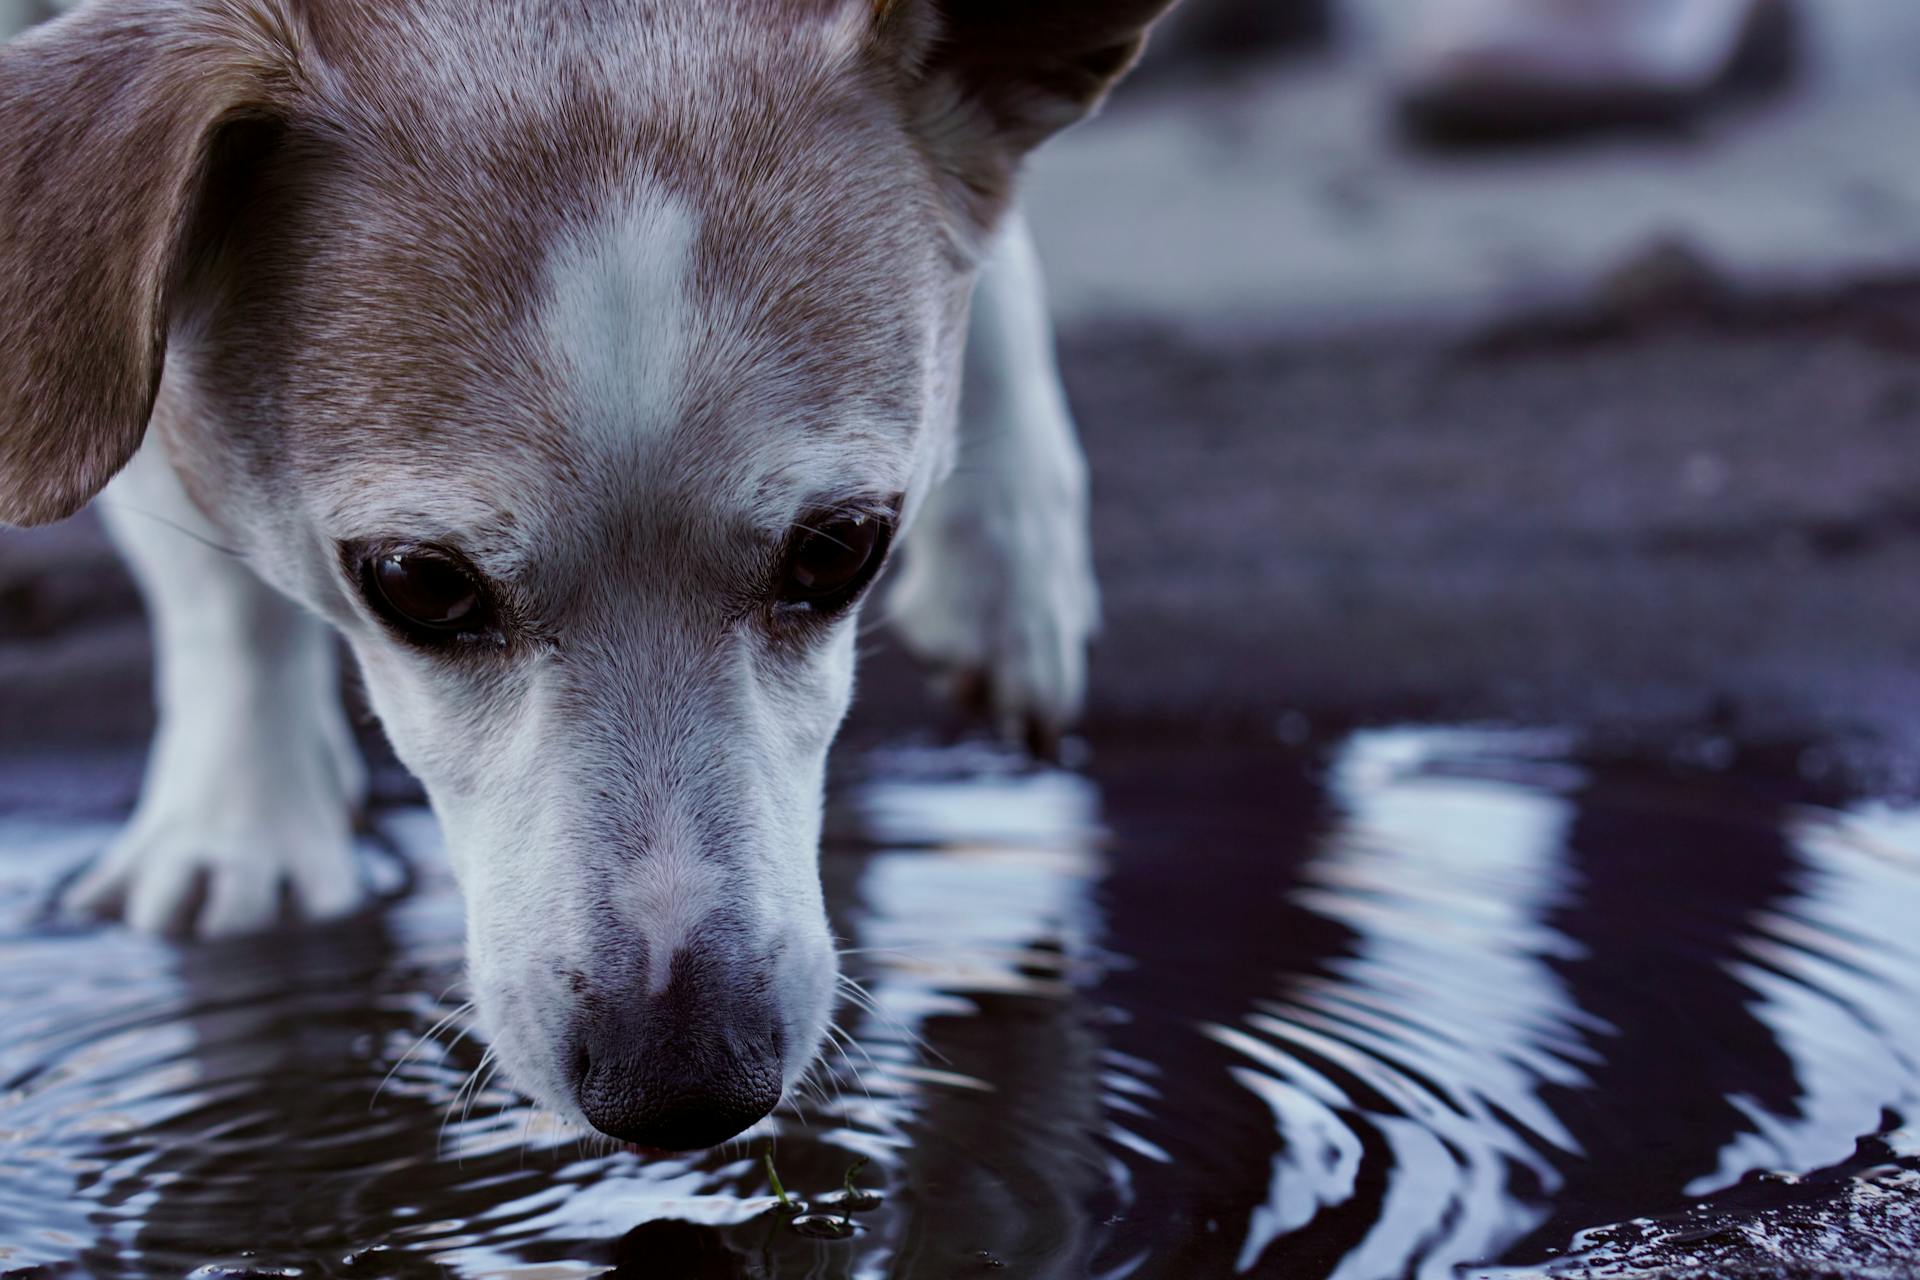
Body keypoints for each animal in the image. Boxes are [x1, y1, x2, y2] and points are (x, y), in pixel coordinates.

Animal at [0, 0, 1167, 1159]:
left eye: (841, 548)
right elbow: (209, 564)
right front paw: (244, 819)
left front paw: (1008, 536)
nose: (687, 1087)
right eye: (419, 584)